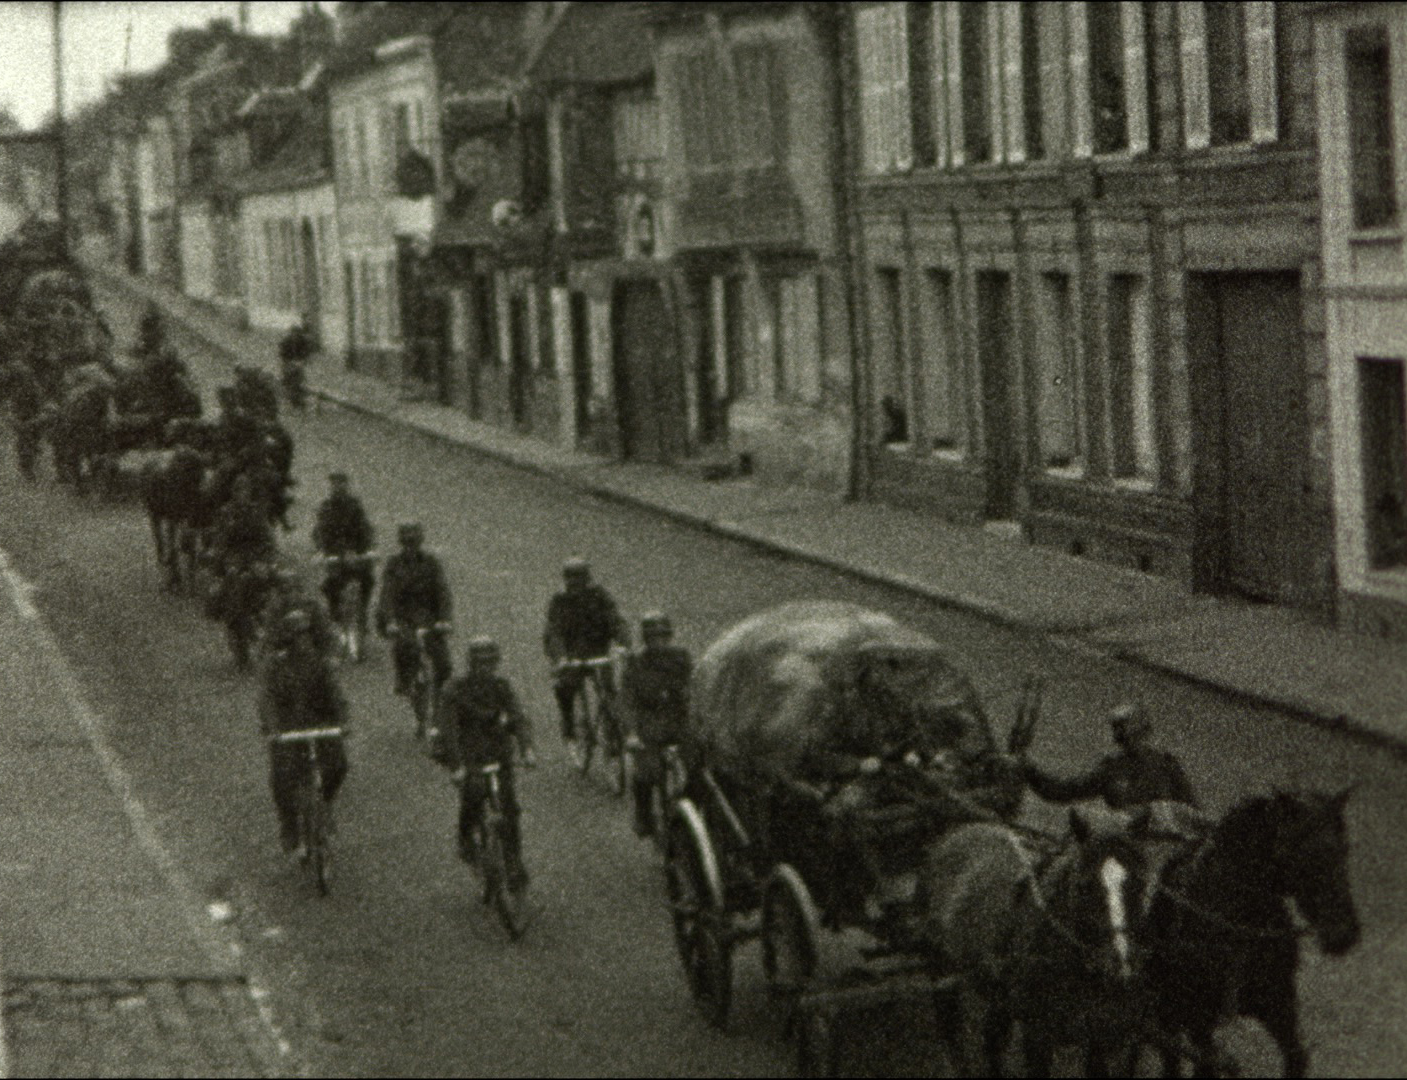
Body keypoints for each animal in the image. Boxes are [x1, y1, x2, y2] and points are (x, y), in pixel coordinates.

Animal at [917, 804, 1159, 1074]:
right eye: (1084, 886)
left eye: (1139, 883)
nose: (1120, 962)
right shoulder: (1037, 1036)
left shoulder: (1100, 1036)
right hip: (942, 979)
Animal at [1142, 787, 1361, 1080]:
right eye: (1301, 854)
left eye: (1344, 849)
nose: (1344, 932)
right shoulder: (1200, 1019)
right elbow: (1205, 1062)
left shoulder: (1279, 1006)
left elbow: (1296, 1056)